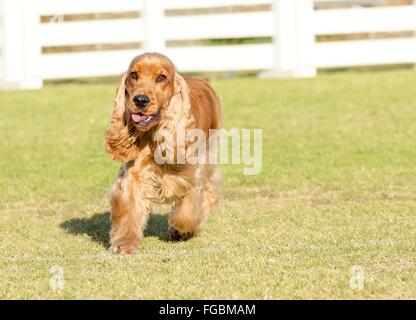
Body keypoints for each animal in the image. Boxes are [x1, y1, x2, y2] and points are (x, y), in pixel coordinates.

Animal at [105, 52, 221, 254]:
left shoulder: (193, 173)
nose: (140, 100)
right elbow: (130, 207)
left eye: (161, 77)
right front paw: (125, 243)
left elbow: (188, 210)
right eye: (134, 75)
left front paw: (181, 230)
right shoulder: (135, 173)